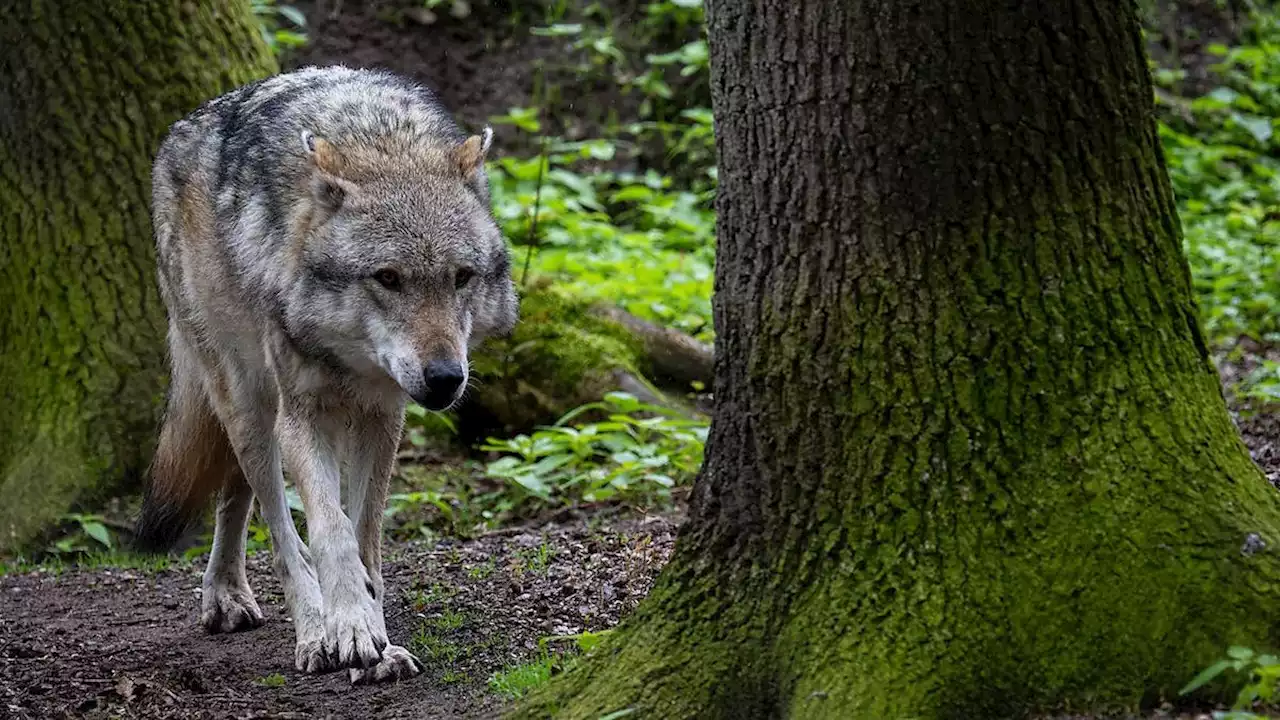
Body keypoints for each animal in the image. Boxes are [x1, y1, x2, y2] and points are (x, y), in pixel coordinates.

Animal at [135, 64, 519, 681]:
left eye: (462, 277)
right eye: (387, 278)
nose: (445, 378)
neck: (380, 143)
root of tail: (181, 129)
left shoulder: (382, 417)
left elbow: (364, 535)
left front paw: (377, 634)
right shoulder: (304, 415)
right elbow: (330, 531)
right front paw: (349, 628)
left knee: (236, 495)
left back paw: (230, 593)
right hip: (249, 404)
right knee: (278, 527)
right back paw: (308, 631)